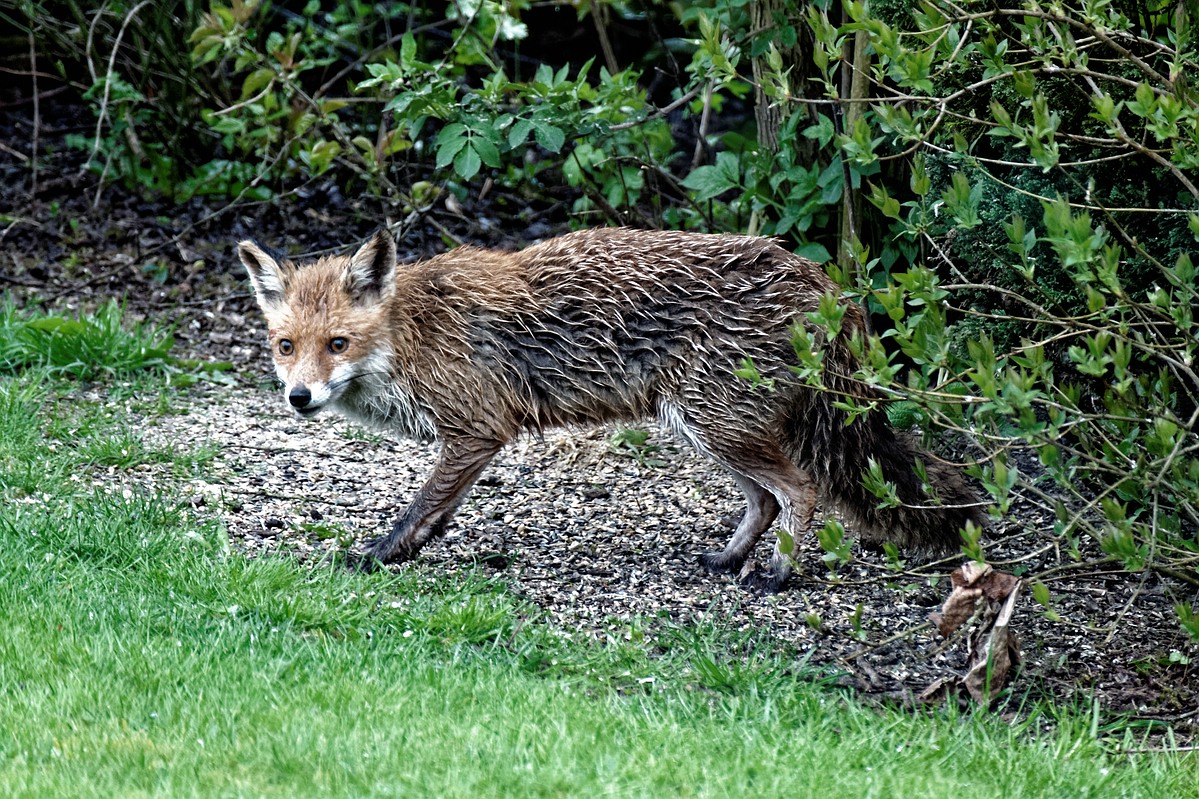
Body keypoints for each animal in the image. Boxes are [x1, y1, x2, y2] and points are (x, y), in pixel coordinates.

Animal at [238, 226, 985, 591]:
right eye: (285, 346)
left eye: (338, 344)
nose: (299, 397)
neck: (412, 336)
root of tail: (824, 282)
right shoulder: (468, 440)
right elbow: (438, 511)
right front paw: (408, 551)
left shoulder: (477, 429)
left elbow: (419, 505)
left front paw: (382, 553)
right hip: (705, 427)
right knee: (765, 499)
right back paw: (728, 559)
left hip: (717, 423)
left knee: (800, 490)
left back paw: (778, 574)